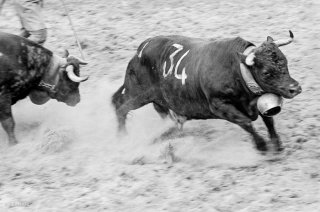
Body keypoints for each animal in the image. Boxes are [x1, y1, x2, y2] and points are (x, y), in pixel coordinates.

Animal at [113, 30, 302, 152]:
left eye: (285, 62)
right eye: (266, 72)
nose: (295, 88)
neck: (236, 70)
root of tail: (142, 48)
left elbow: (269, 121)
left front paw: (277, 145)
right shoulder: (219, 106)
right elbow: (246, 123)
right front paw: (261, 146)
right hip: (136, 94)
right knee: (119, 105)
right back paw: (123, 138)